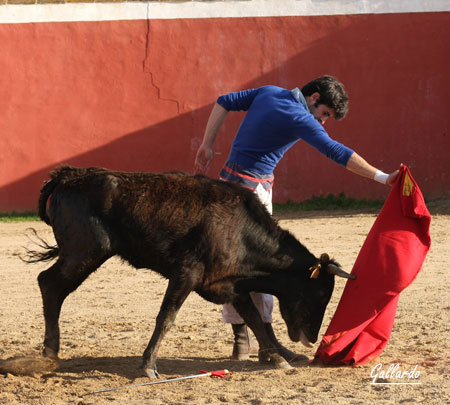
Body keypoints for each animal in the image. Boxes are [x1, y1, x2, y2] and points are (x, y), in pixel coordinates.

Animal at [26, 164, 354, 376]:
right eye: (319, 294)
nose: (312, 337)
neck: (241, 232)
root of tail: (69, 175)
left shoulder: (231, 284)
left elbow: (255, 319)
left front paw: (277, 358)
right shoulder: (186, 273)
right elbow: (166, 317)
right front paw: (148, 367)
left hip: (81, 255)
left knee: (51, 286)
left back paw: (51, 351)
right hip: (85, 253)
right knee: (49, 284)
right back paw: (50, 352)